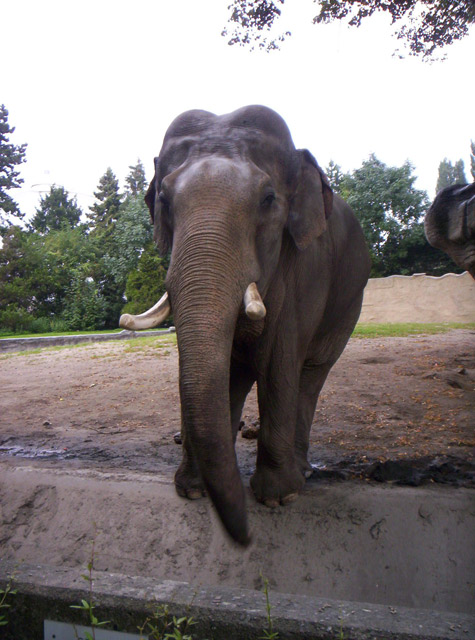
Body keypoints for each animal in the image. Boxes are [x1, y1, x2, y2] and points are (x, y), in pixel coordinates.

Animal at [120, 105, 371, 545]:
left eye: (268, 200)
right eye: (163, 200)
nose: (246, 538)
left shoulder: (307, 268)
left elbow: (278, 364)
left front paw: (277, 499)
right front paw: (192, 491)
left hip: (348, 305)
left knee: (310, 376)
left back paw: (301, 473)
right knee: (237, 374)